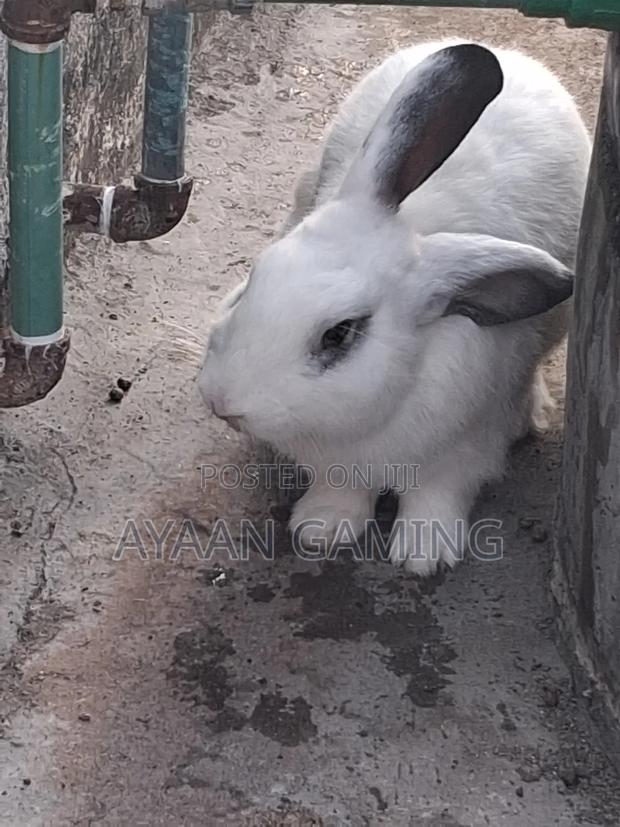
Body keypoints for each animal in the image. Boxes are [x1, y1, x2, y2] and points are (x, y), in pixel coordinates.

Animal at [199, 40, 591, 576]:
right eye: (256, 276)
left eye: (340, 333)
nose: (221, 402)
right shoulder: (336, 465)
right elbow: (343, 492)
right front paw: (321, 529)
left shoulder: (464, 449)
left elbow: (437, 494)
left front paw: (424, 554)